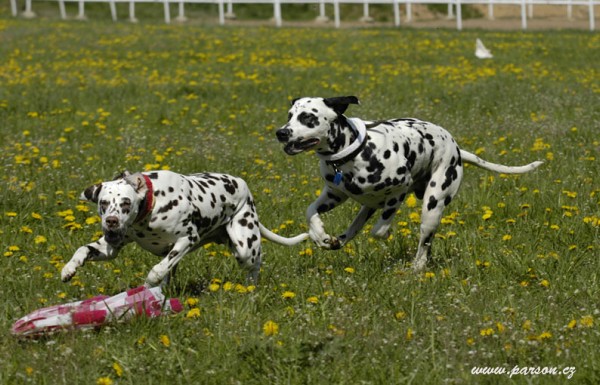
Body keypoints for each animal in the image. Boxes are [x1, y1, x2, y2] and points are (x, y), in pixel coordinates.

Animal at [59, 170, 310, 284]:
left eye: (125, 203)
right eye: (103, 203)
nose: (111, 221)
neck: (153, 204)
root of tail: (243, 186)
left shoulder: (186, 240)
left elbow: (157, 270)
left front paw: (148, 285)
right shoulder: (110, 248)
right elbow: (83, 250)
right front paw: (69, 269)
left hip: (244, 248)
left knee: (255, 263)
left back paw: (251, 286)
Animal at [276, 95, 544, 270]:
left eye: (308, 118)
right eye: (290, 116)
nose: (281, 132)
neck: (354, 153)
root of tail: (457, 149)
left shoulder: (400, 187)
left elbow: (380, 229)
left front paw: (384, 232)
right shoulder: (334, 194)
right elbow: (310, 211)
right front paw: (319, 234)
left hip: (432, 206)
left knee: (424, 243)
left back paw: (417, 267)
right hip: (368, 206)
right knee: (354, 228)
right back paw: (337, 240)